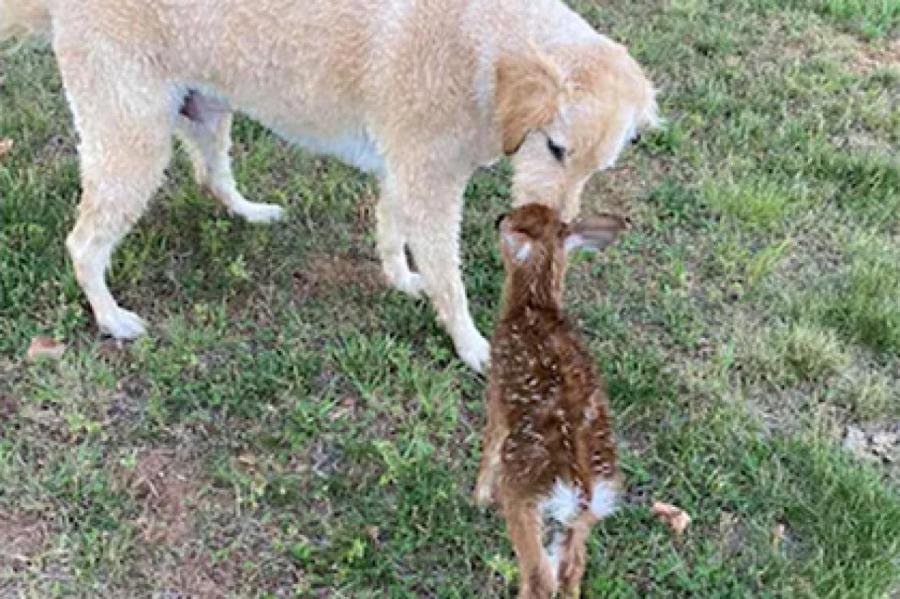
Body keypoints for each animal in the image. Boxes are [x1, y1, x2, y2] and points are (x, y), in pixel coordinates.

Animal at [1, 0, 660, 372]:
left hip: (206, 111)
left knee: (211, 176)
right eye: (556, 148)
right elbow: (450, 279)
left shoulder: (407, 173)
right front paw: (471, 345)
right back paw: (111, 319)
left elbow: (392, 230)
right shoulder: (429, 185)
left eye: (596, 168)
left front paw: (402, 280)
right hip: (132, 144)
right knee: (84, 245)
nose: (557, 235)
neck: (491, 47)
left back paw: (252, 212)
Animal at [474, 204, 628, 596]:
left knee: (540, 574)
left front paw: (478, 498)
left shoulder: (497, 397)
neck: (534, 306)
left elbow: (489, 446)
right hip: (579, 521)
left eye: (515, 220)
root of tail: (582, 489)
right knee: (573, 567)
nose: (498, 218)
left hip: (523, 496)